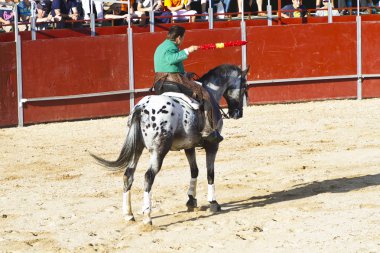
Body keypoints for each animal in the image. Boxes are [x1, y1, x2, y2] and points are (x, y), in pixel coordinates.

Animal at [91, 64, 251, 224]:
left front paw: (191, 200)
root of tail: (141, 108)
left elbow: (194, 170)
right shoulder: (213, 146)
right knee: (148, 176)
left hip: (137, 148)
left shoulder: (189, 146)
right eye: (244, 86)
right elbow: (210, 173)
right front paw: (213, 203)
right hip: (159, 151)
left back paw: (129, 214)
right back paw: (147, 217)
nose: (238, 113)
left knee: (128, 174)